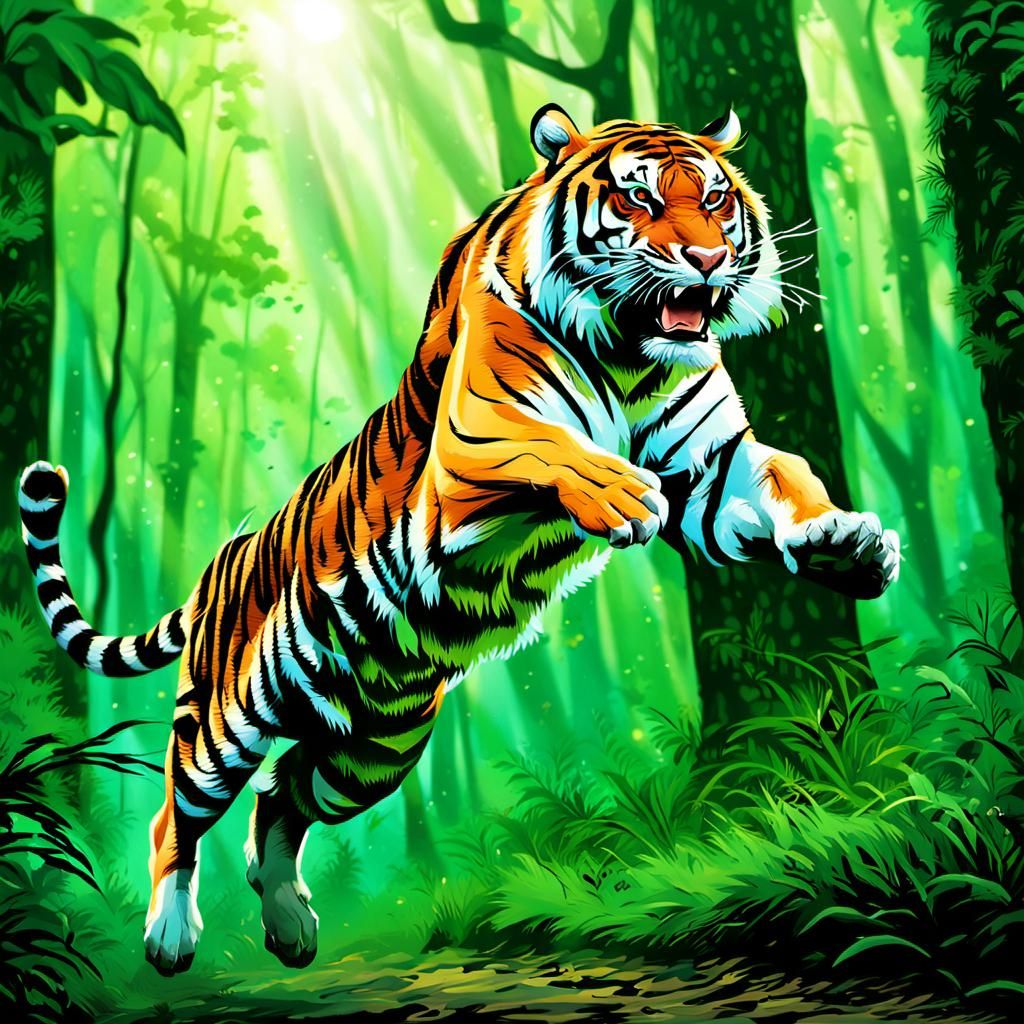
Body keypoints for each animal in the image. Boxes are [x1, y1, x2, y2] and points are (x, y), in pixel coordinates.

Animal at [18, 104, 900, 975]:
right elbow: (553, 448)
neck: (628, 354)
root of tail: (215, 568)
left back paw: (292, 926)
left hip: (372, 749)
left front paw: (848, 543)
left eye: (716, 199)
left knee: (281, 795)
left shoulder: (714, 466)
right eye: (639, 198)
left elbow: (787, 475)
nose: (709, 260)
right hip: (226, 720)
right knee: (178, 816)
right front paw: (620, 491)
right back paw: (170, 938)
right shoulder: (472, 447)